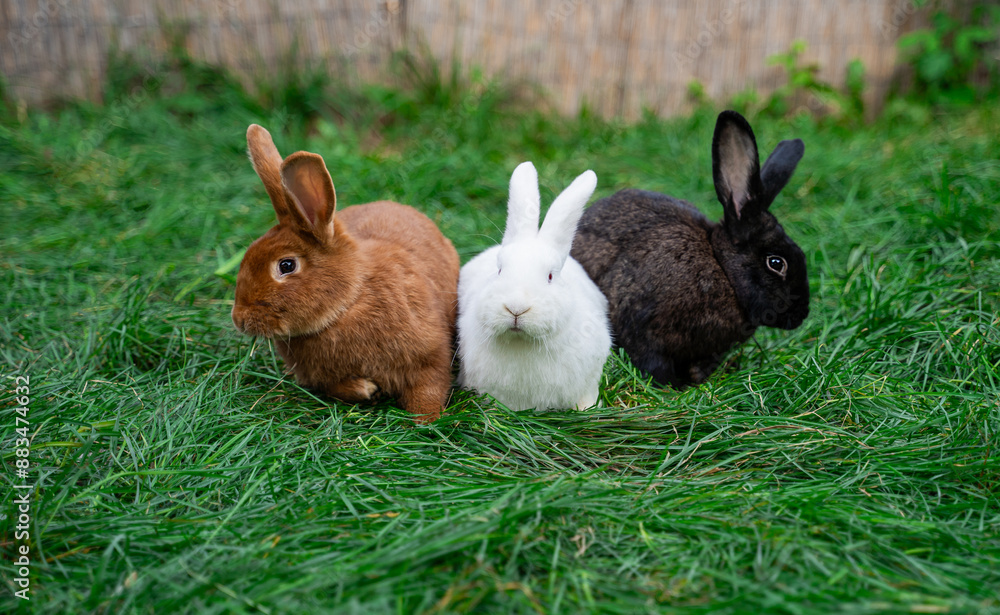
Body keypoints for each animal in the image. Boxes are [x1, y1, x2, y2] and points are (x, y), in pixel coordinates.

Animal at [231, 124, 460, 423]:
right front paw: (367, 389)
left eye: (286, 265)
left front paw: (426, 421)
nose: (239, 320)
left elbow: (429, 388)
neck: (348, 303)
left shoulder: (429, 355)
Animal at [571, 110, 809, 388]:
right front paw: (674, 387)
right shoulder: (643, 329)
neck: (723, 268)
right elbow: (653, 363)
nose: (802, 315)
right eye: (776, 263)